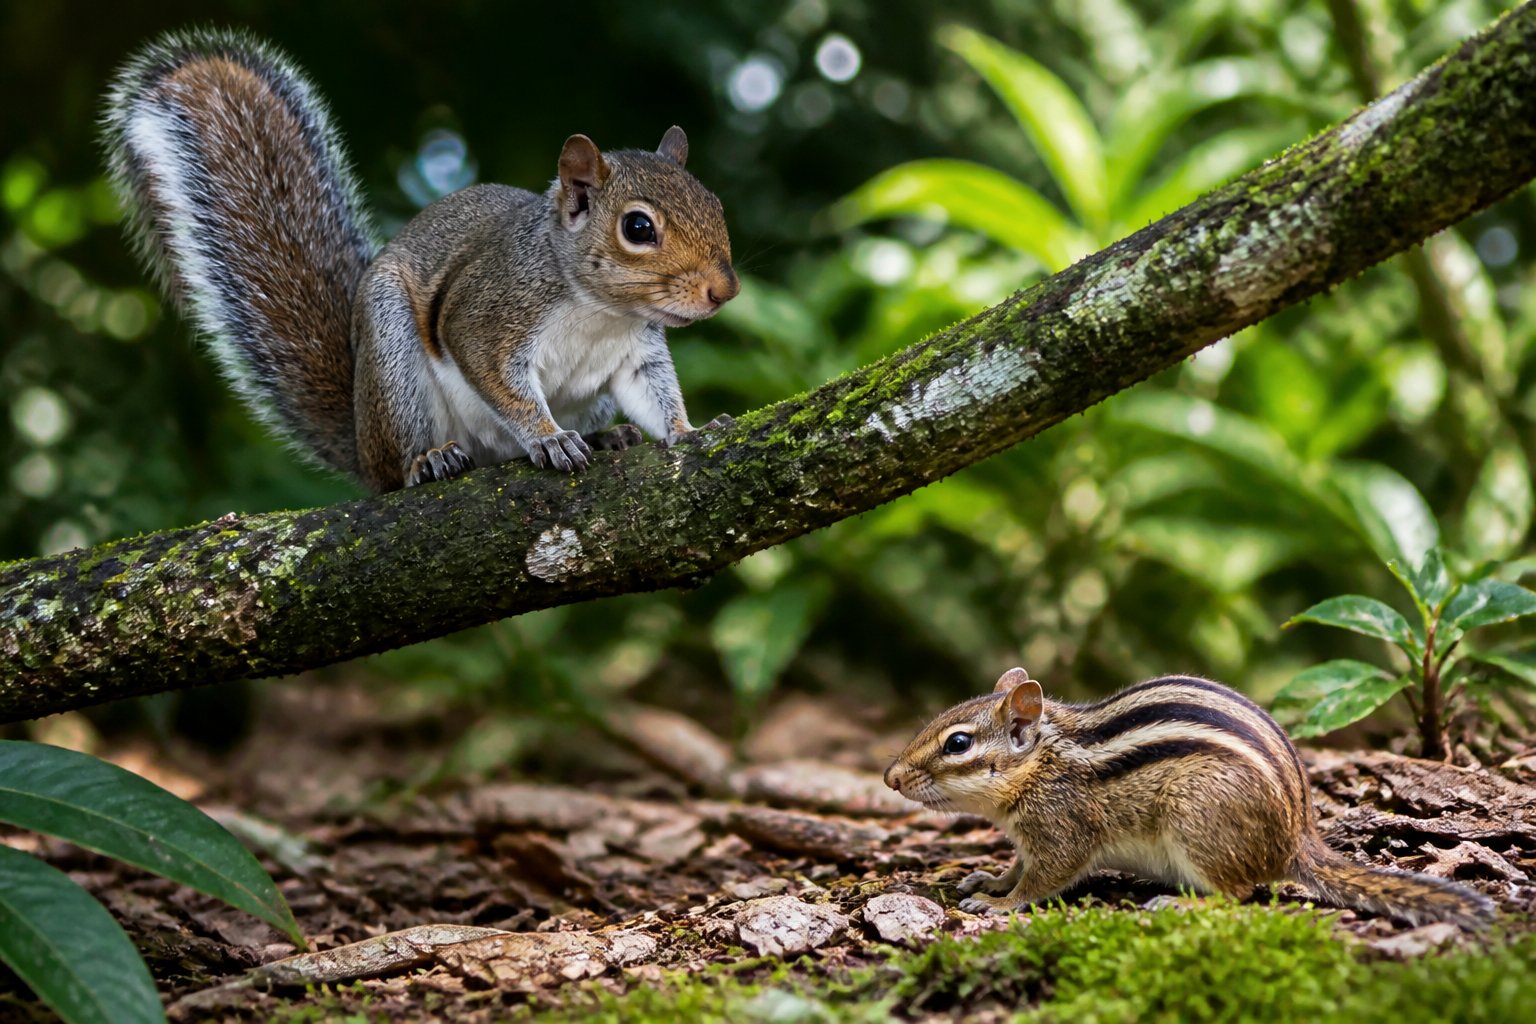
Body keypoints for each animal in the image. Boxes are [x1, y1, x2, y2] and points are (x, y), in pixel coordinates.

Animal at [102, 28, 739, 492]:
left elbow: (656, 396)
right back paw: (427, 461)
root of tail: (363, 444)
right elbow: (498, 379)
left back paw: (609, 438)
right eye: (638, 228)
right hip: (393, 363)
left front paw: (688, 429)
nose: (724, 290)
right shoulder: (489, 315)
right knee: (402, 462)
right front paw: (547, 437)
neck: (600, 311)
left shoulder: (635, 356)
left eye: (714, 202)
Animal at [884, 667, 1495, 929]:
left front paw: (1001, 905)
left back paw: (1178, 903)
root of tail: (1296, 837)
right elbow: (1017, 867)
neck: (1041, 764)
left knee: (1239, 893)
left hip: (1196, 817)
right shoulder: (1029, 839)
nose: (890, 777)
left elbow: (1045, 879)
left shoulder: (1063, 831)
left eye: (957, 743)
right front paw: (989, 881)